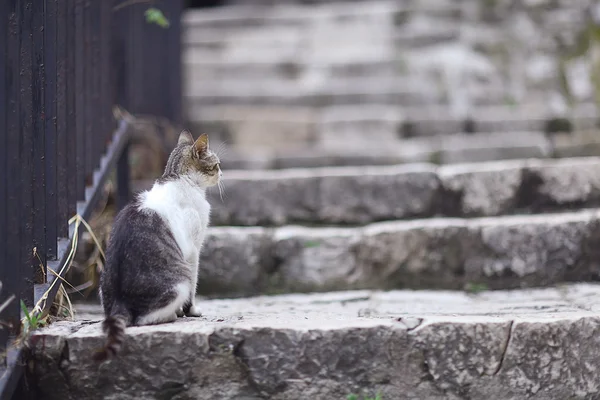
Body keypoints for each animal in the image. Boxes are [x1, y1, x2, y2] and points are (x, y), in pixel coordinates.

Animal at [95, 130, 221, 360]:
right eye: (216, 165)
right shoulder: (193, 251)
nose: (222, 173)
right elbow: (194, 287)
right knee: (143, 319)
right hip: (179, 280)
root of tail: (119, 303)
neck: (179, 177)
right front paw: (191, 311)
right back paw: (171, 315)